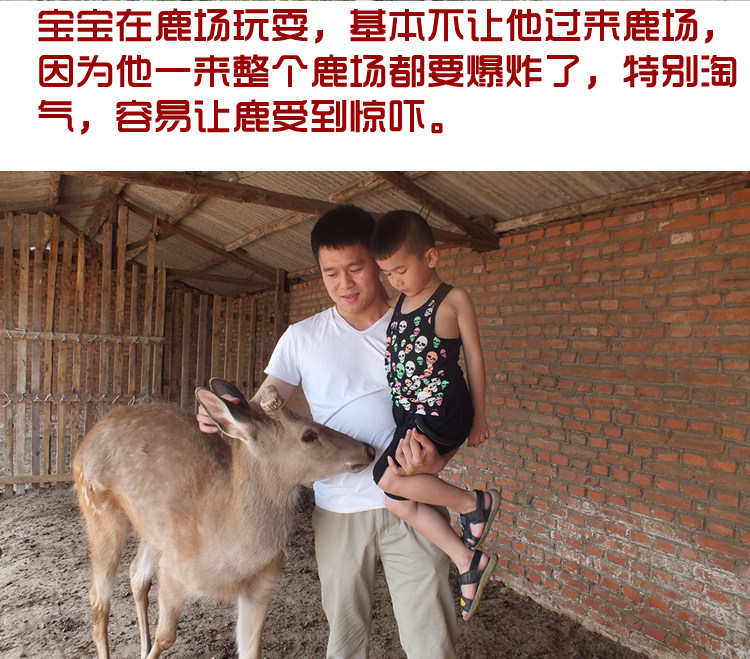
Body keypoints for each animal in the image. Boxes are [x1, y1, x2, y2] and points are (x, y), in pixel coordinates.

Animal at [73, 379, 375, 659]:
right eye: (309, 435)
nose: (369, 449)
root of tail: (86, 440)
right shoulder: (173, 571)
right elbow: (166, 637)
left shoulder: (261, 587)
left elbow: (251, 650)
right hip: (98, 512)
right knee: (98, 598)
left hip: (151, 530)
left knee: (136, 575)